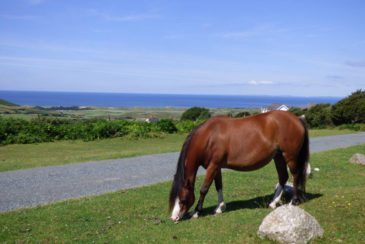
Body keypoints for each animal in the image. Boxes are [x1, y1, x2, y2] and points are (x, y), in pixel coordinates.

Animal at [168, 110, 308, 221]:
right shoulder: (216, 167)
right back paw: (273, 203)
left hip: (290, 156)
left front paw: (196, 212)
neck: (208, 137)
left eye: (182, 199)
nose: (174, 218)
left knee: (295, 175)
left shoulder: (213, 166)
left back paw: (293, 201)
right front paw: (219, 208)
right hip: (278, 157)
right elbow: (218, 186)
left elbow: (204, 188)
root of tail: (297, 119)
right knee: (283, 177)